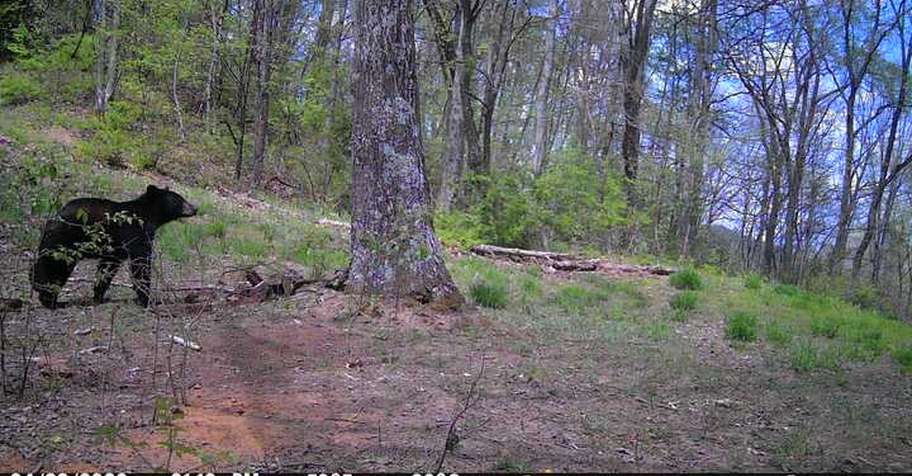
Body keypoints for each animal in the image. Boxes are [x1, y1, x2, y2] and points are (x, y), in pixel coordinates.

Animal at [31, 184, 198, 308]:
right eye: (179, 200)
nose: (195, 208)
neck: (149, 216)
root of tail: (53, 218)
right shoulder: (135, 232)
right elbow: (140, 263)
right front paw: (147, 299)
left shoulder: (115, 250)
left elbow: (107, 267)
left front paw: (99, 295)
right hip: (64, 242)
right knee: (54, 267)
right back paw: (50, 300)